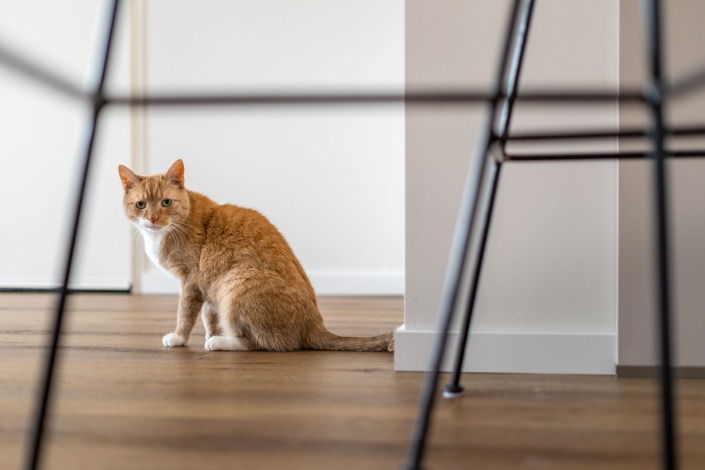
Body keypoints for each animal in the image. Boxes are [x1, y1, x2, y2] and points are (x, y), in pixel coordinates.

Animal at [115, 160, 390, 350]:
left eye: (166, 202)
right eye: (141, 204)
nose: (152, 218)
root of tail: (314, 325)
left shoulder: (191, 281)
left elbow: (186, 314)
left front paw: (180, 338)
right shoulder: (208, 285)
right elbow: (209, 316)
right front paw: (212, 332)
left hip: (237, 281)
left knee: (262, 343)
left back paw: (222, 342)